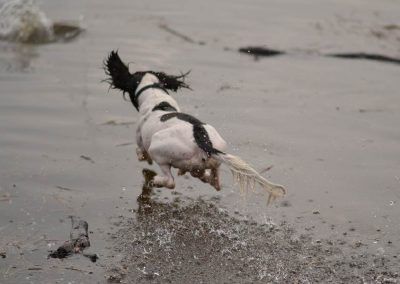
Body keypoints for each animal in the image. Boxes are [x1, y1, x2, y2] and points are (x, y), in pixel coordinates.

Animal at [103, 50, 284, 202]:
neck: (156, 98)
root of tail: (203, 139)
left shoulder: (140, 139)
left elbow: (140, 152)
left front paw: (144, 159)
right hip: (214, 157)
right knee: (214, 180)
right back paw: (204, 177)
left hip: (158, 148)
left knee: (170, 181)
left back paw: (155, 180)